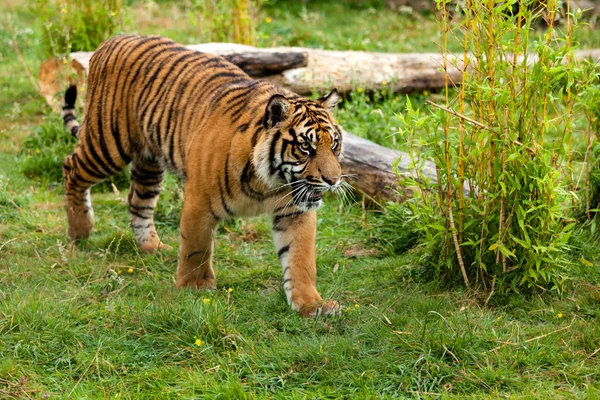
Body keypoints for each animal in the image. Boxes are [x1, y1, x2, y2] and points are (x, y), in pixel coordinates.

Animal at [62, 33, 344, 316]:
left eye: (334, 144)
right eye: (305, 147)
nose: (333, 181)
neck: (268, 183)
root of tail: (114, 38)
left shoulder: (295, 211)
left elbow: (300, 258)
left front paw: (312, 304)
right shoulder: (199, 199)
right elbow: (196, 246)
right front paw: (195, 287)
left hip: (149, 162)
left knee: (137, 201)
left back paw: (152, 247)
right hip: (107, 143)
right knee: (71, 168)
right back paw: (80, 230)